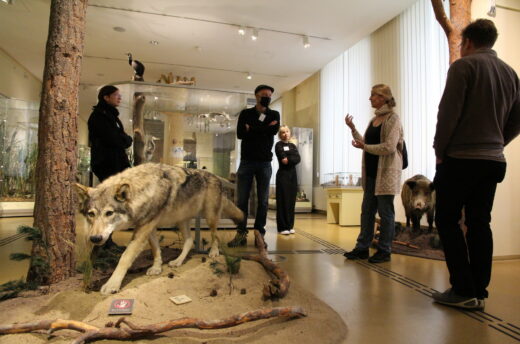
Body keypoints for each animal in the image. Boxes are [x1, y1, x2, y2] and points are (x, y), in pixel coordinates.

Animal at [75, 163, 244, 294]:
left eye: (109, 213)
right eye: (91, 214)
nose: (95, 238)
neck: (143, 191)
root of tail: (217, 177)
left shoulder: (143, 230)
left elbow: (125, 257)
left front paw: (112, 284)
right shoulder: (149, 227)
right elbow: (156, 249)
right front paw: (157, 268)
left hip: (210, 217)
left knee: (215, 236)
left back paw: (213, 252)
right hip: (181, 221)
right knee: (189, 241)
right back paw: (178, 261)